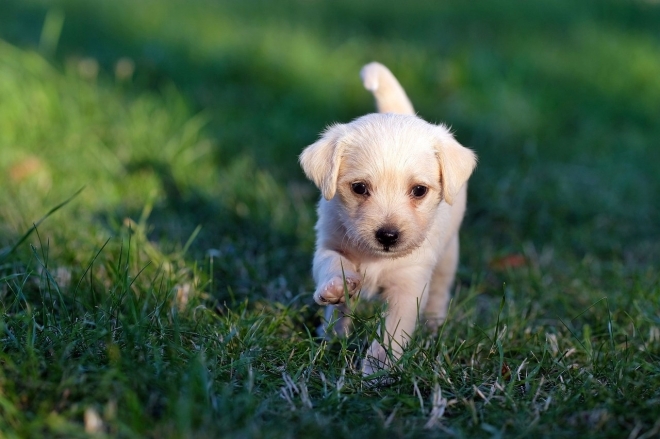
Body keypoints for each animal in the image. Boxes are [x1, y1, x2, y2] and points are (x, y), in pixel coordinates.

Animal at [298, 62, 474, 374]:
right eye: (359, 188)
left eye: (419, 190)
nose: (388, 236)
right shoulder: (329, 243)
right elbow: (332, 264)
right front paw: (336, 287)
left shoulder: (409, 286)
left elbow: (392, 333)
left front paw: (377, 370)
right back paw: (331, 334)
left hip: (448, 256)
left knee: (440, 291)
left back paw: (433, 325)